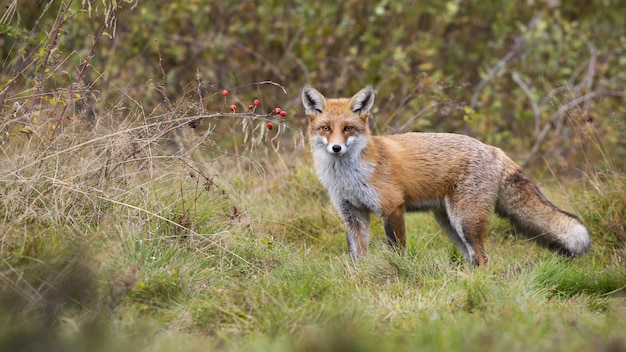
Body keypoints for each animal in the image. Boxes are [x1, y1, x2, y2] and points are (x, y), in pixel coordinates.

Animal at [302, 84, 588, 264]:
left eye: (348, 128)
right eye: (326, 128)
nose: (336, 148)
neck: (348, 177)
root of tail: (494, 149)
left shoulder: (392, 207)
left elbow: (397, 252)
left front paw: (399, 274)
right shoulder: (353, 215)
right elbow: (357, 258)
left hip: (465, 221)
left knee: (482, 258)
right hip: (448, 223)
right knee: (472, 258)